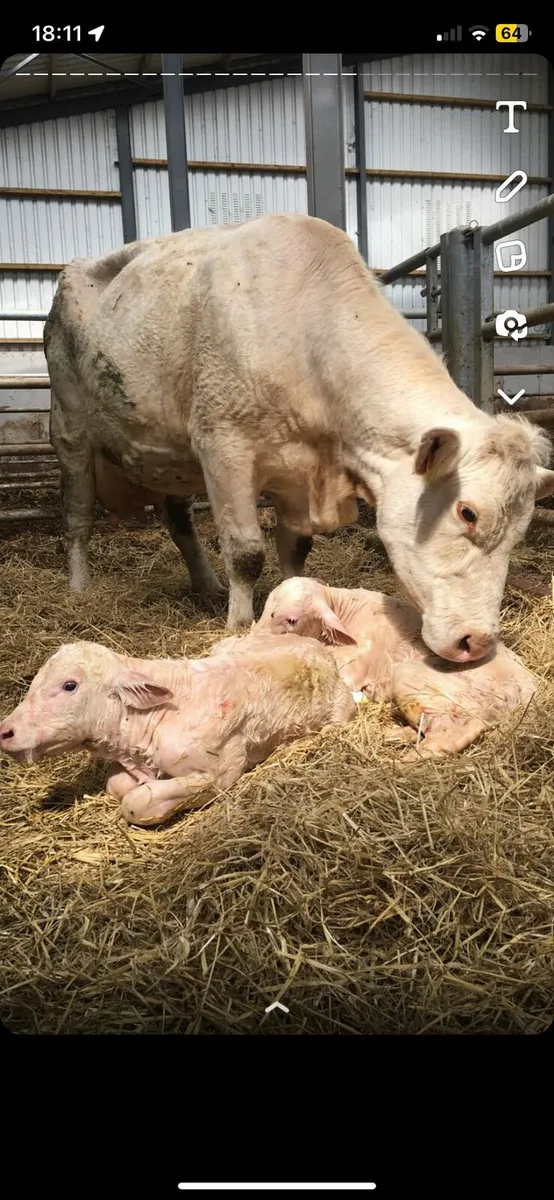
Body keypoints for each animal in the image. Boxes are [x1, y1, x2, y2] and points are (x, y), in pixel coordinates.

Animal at [0, 634, 356, 827]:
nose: (6, 731)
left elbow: (136, 802)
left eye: (69, 685)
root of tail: (316, 646)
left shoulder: (221, 772)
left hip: (341, 711)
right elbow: (116, 784)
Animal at [43, 212, 554, 660]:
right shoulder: (223, 445)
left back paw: (206, 584)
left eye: (521, 532)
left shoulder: (298, 471)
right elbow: (246, 552)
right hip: (70, 426)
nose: (478, 642)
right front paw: (238, 626)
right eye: (468, 512)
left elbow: (297, 549)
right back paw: (79, 587)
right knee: (77, 515)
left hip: (170, 453)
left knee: (179, 520)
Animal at [254, 577, 538, 756]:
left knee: (457, 730)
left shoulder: (354, 668)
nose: (255, 638)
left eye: (291, 620)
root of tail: (528, 690)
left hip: (416, 679)